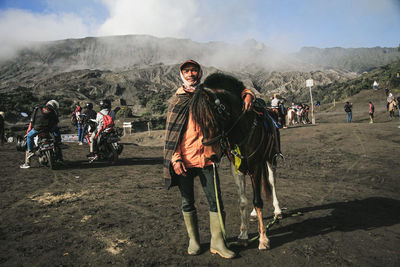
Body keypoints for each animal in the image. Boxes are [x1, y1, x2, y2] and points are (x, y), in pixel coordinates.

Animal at [190, 74, 282, 251]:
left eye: (212, 118)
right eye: (197, 122)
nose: (210, 156)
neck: (241, 131)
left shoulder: (256, 166)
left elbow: (258, 201)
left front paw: (263, 239)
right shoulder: (237, 169)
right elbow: (243, 202)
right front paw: (243, 235)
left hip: (270, 159)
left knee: (272, 182)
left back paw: (278, 210)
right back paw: (253, 214)